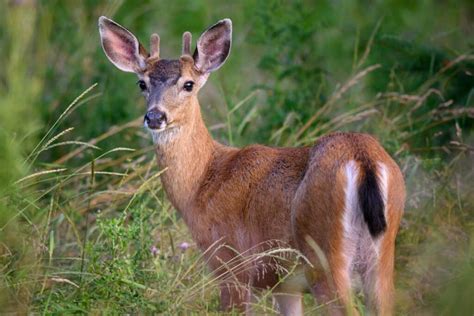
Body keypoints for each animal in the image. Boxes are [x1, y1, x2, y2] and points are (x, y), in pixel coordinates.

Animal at [99, 16, 404, 314]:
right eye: (142, 84)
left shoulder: (231, 264)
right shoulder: (284, 286)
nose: (155, 116)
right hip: (380, 257)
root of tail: (363, 158)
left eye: (188, 84)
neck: (202, 183)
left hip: (324, 254)